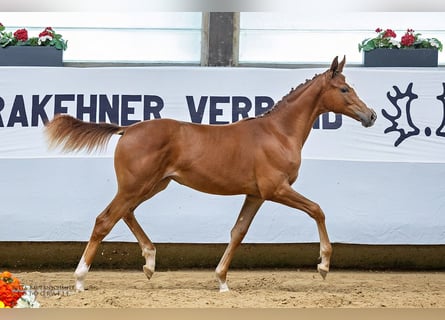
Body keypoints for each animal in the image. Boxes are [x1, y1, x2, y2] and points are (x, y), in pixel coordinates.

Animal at [44, 55, 374, 292]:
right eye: (344, 89)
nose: (370, 116)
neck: (278, 132)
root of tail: (128, 128)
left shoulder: (255, 194)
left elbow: (238, 232)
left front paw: (222, 281)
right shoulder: (276, 189)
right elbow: (317, 210)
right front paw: (323, 266)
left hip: (153, 185)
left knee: (125, 214)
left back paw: (149, 262)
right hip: (136, 186)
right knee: (105, 220)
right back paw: (80, 279)